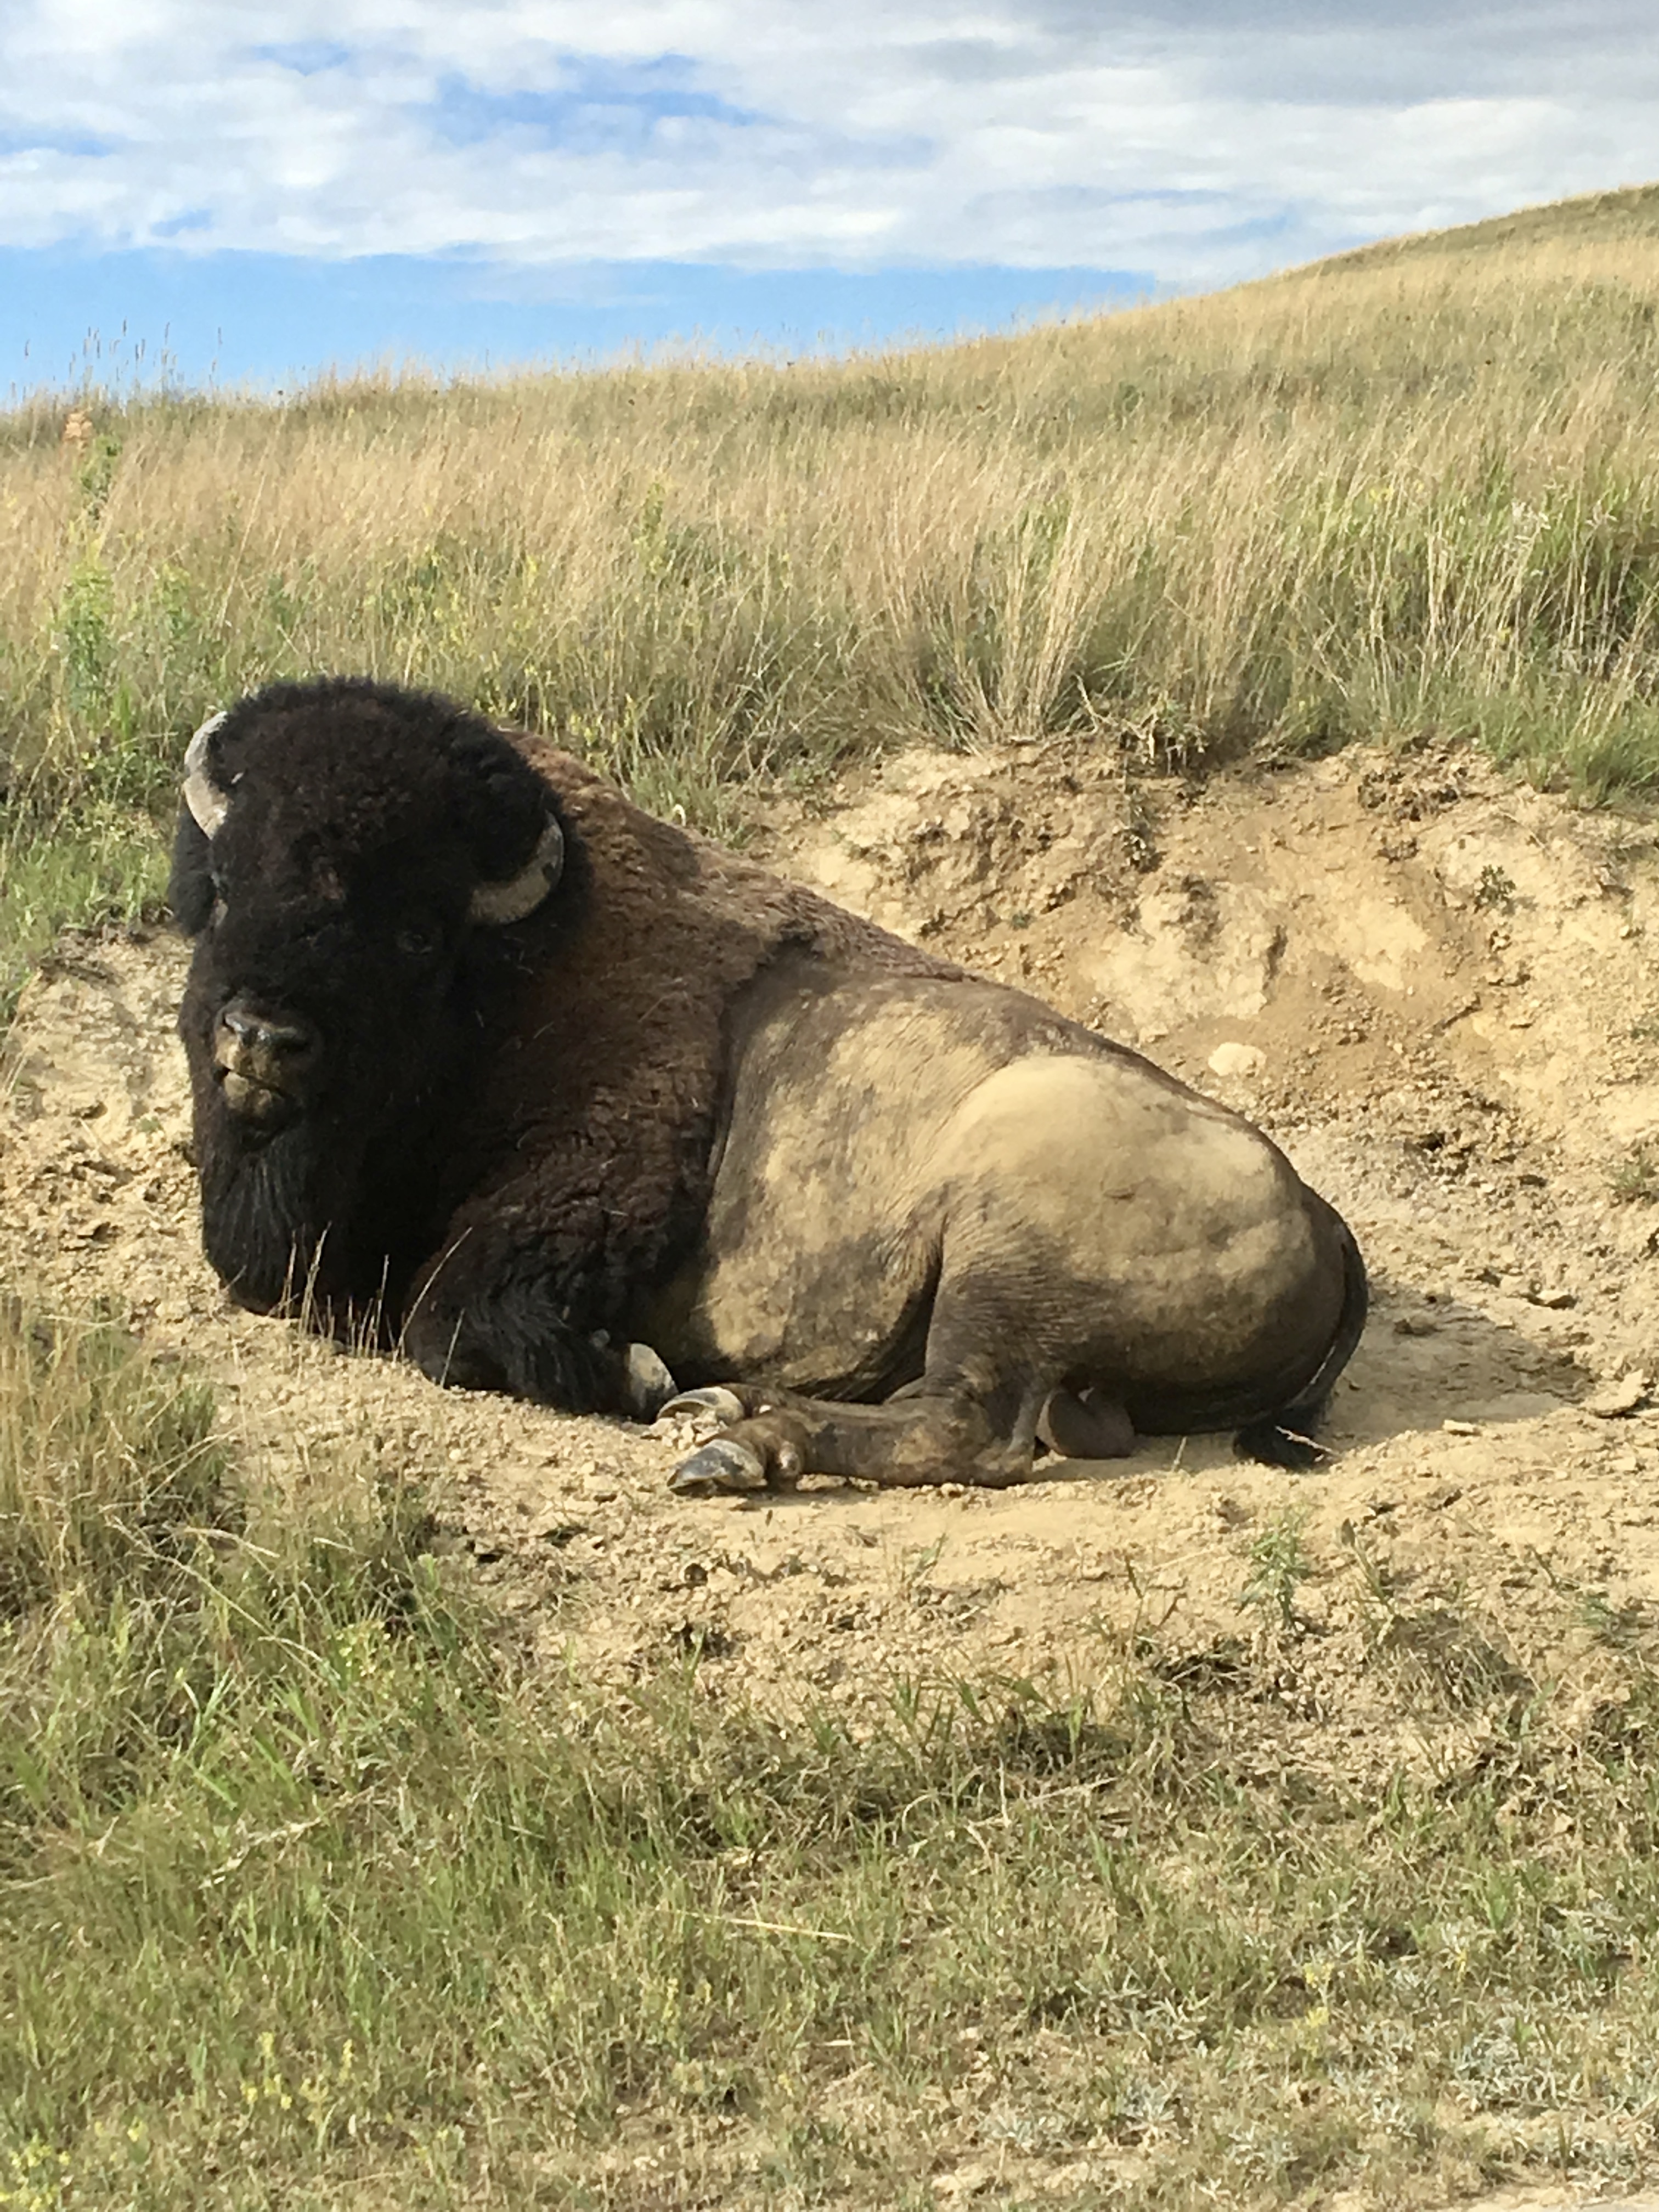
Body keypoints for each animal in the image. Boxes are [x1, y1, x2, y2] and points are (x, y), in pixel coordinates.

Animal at [172, 676, 1366, 1494]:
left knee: (969, 1424)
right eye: (224, 885)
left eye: (416, 932)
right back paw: (720, 1408)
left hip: (1005, 1236)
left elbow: (442, 1323)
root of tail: (1320, 1213)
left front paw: (637, 1375)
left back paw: (737, 1446)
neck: (515, 974)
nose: (261, 1039)